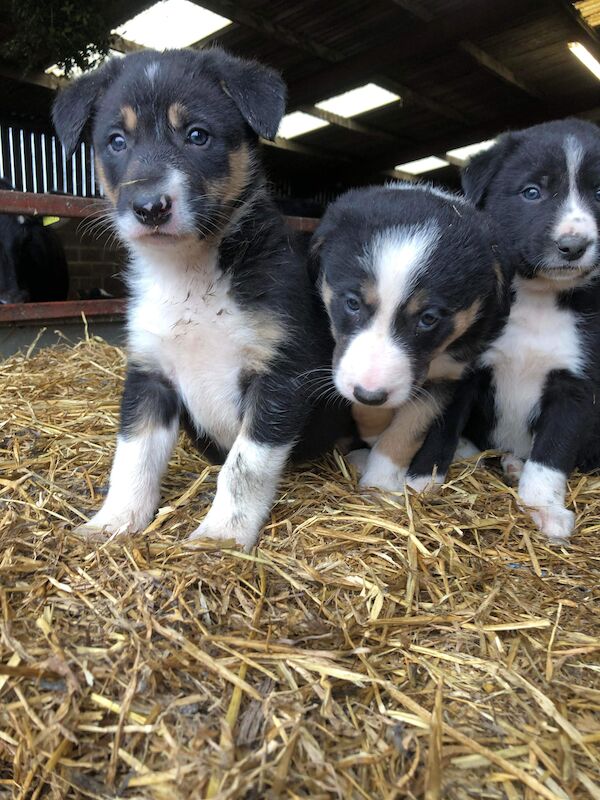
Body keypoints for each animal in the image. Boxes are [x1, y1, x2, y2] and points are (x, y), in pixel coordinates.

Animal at [52, 48, 352, 552]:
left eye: (197, 135)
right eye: (116, 141)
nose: (150, 207)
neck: (188, 274)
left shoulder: (280, 373)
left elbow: (244, 466)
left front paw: (222, 535)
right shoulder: (150, 374)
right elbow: (132, 456)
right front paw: (114, 521)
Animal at [310, 184, 510, 494]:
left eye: (428, 319)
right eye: (352, 303)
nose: (370, 393)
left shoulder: (448, 376)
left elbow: (408, 429)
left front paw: (381, 481)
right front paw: (373, 430)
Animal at [462, 119, 600, 540]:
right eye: (532, 192)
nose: (574, 245)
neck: (540, 297)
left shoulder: (576, 385)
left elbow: (553, 452)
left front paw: (544, 507)